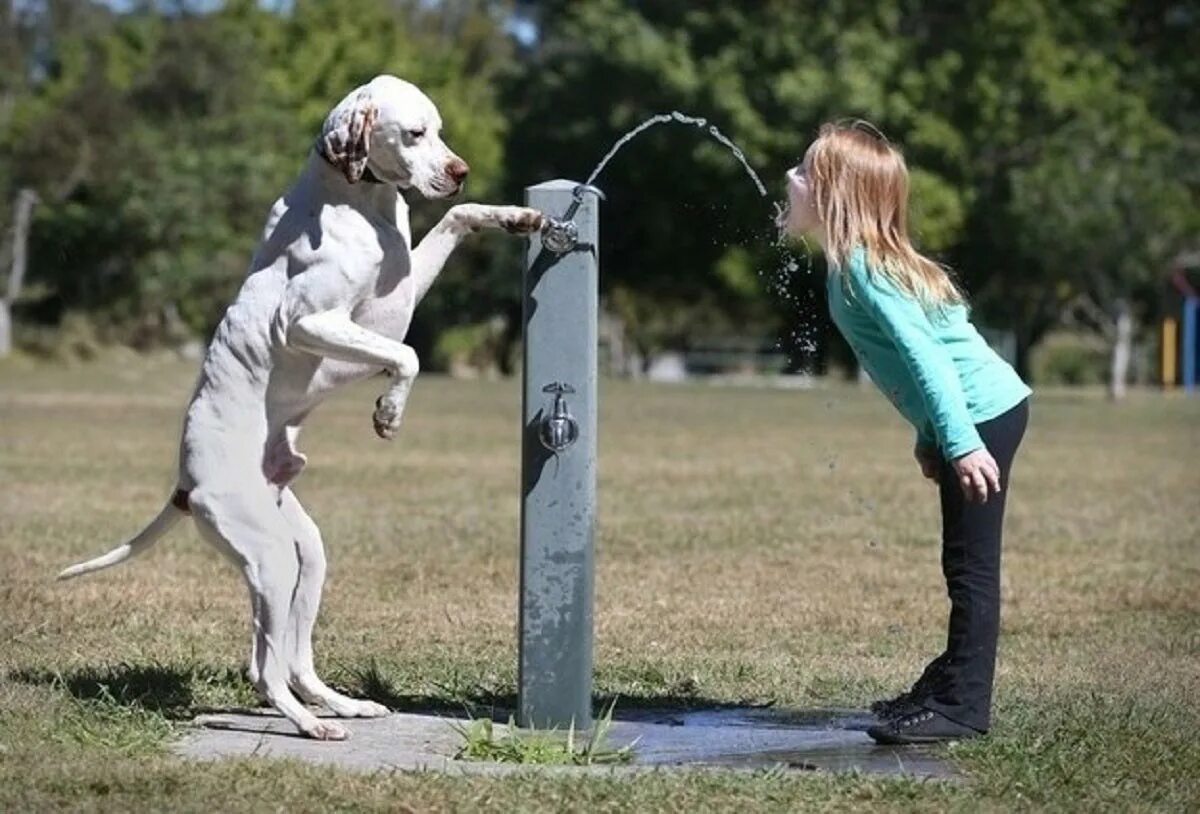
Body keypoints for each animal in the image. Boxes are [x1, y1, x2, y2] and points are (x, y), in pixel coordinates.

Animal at [56, 75, 544, 739]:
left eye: (440, 131)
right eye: (414, 133)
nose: (460, 170)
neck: (359, 200)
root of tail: (185, 483)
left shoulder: (401, 291)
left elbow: (456, 218)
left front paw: (516, 217)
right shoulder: (311, 321)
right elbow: (408, 355)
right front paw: (389, 412)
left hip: (305, 556)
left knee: (293, 660)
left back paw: (342, 705)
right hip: (270, 560)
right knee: (264, 668)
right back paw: (312, 725)